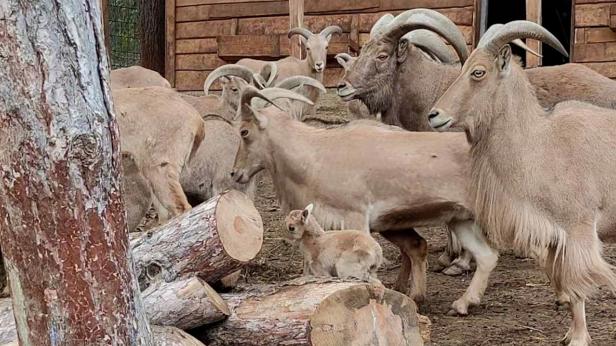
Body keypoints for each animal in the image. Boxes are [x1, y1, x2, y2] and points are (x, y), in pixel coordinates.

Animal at [229, 86, 498, 308]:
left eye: (244, 131)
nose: (235, 173)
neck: (317, 154)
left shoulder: (354, 217)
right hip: (457, 219)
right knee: (482, 256)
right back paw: (456, 302)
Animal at [428, 20, 616, 344]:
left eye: (478, 72)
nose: (434, 115)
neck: (540, 146)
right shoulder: (554, 236)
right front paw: (568, 332)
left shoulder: (578, 229)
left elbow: (577, 285)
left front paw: (578, 337)